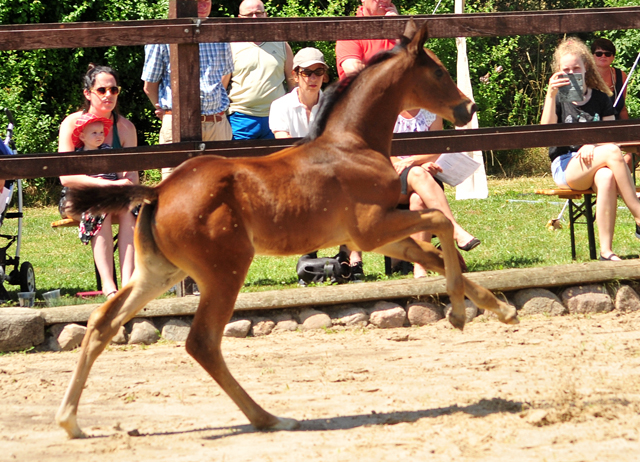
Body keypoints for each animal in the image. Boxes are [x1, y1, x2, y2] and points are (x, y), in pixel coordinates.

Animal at [56, 20, 520, 440]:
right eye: (439, 72)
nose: (467, 109)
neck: (353, 145)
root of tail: (156, 192)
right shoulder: (372, 229)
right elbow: (440, 224)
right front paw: (459, 314)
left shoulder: (380, 236)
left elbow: (432, 255)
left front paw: (500, 309)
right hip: (225, 270)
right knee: (202, 342)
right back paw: (269, 418)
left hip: (158, 272)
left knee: (102, 321)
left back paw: (71, 422)